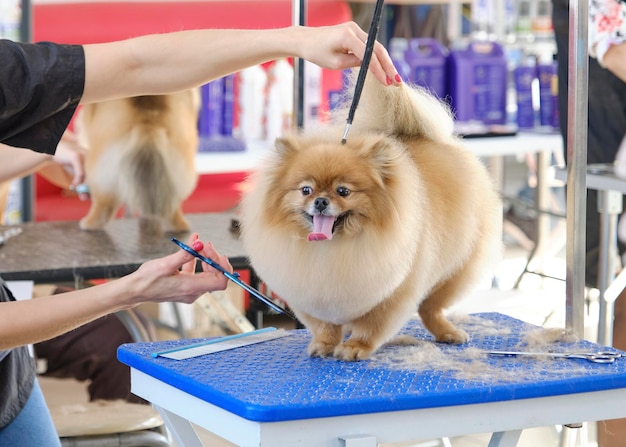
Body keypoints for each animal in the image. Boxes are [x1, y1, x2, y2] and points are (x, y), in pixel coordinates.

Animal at [75, 89, 199, 233]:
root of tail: (148, 120)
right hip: (178, 170)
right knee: (170, 206)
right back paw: (178, 226)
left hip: (99, 172)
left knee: (104, 205)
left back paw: (89, 223)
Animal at [236, 72, 500, 362]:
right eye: (306, 190)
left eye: (343, 191)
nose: (320, 201)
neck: (332, 248)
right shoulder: (312, 293)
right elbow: (325, 325)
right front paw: (324, 344)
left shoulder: (391, 293)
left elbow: (371, 325)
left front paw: (354, 347)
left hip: (453, 269)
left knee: (431, 307)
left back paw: (448, 332)